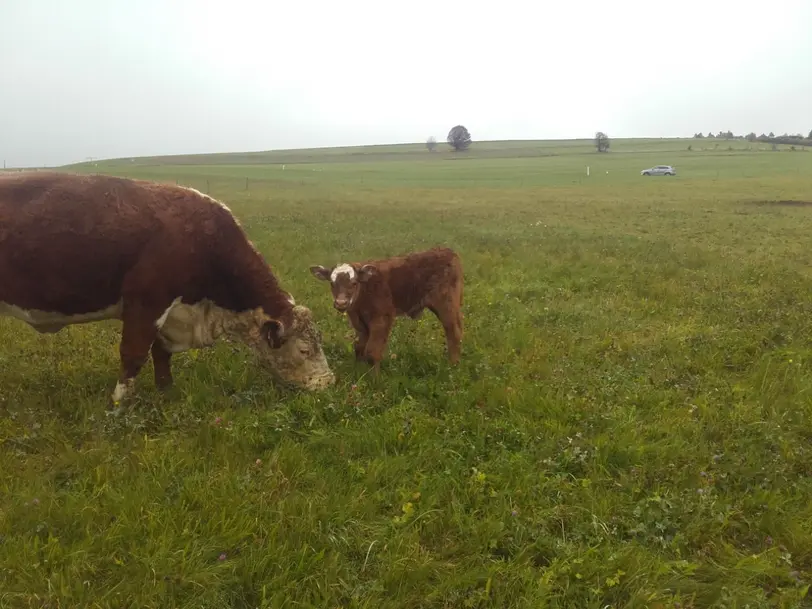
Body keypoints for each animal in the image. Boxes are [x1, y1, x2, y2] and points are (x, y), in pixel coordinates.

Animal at [0, 170, 336, 404]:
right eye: (304, 350)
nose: (329, 383)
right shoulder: (146, 303)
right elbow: (134, 354)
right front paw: (119, 405)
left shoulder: (172, 312)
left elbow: (161, 354)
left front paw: (167, 393)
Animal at [310, 246, 464, 370]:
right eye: (332, 283)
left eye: (354, 283)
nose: (341, 303)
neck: (365, 291)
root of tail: (448, 251)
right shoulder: (359, 323)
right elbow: (359, 346)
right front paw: (358, 371)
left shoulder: (382, 318)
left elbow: (372, 352)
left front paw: (374, 380)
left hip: (446, 305)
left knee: (453, 332)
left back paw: (453, 365)